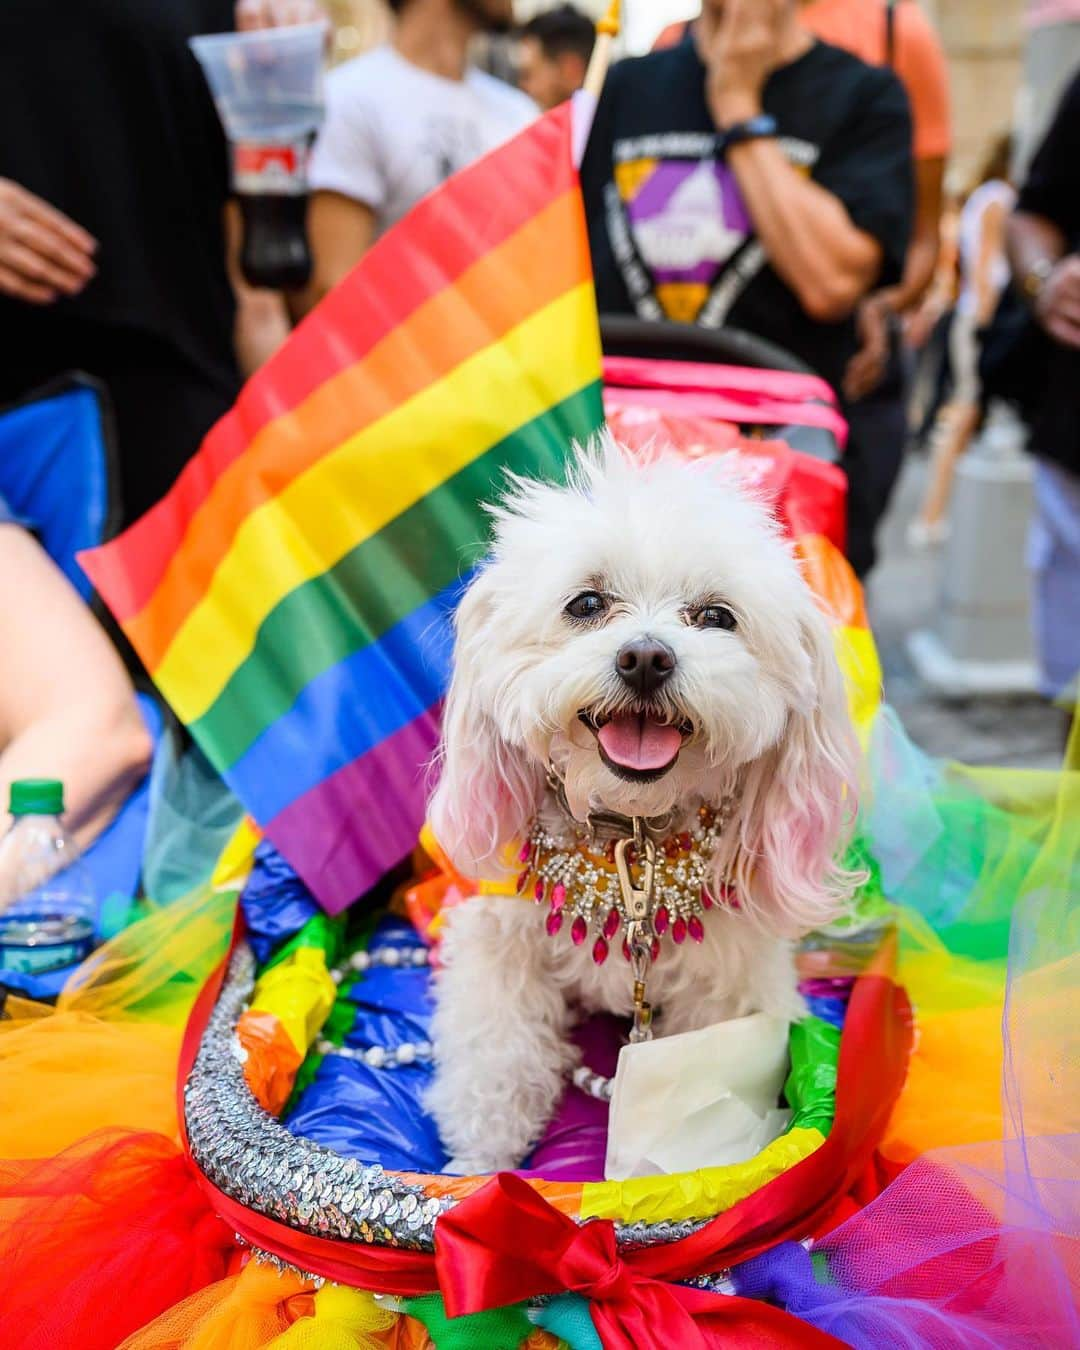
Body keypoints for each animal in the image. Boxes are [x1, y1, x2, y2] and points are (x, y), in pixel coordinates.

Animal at [426, 437, 858, 1177]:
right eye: (586, 602)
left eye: (716, 616)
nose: (646, 657)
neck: (628, 836)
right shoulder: (498, 941)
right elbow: (497, 1049)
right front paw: (481, 1159)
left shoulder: (731, 985)